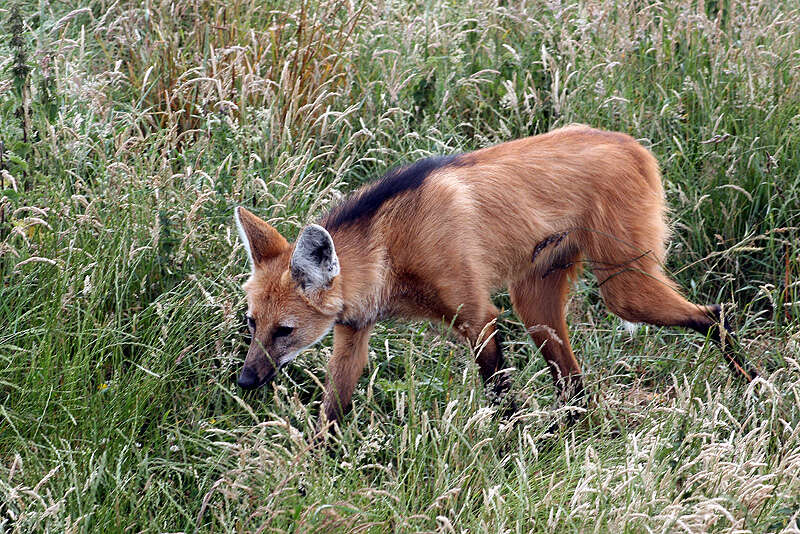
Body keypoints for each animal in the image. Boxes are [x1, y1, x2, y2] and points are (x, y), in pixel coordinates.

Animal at [233, 124, 756, 436]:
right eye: (252, 324)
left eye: (285, 331)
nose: (244, 380)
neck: (389, 252)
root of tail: (632, 142)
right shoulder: (352, 331)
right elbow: (331, 412)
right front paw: (309, 477)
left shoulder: (478, 317)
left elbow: (502, 397)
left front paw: (510, 451)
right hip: (537, 306)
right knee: (574, 383)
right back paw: (576, 435)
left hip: (623, 291)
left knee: (714, 313)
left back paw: (754, 388)